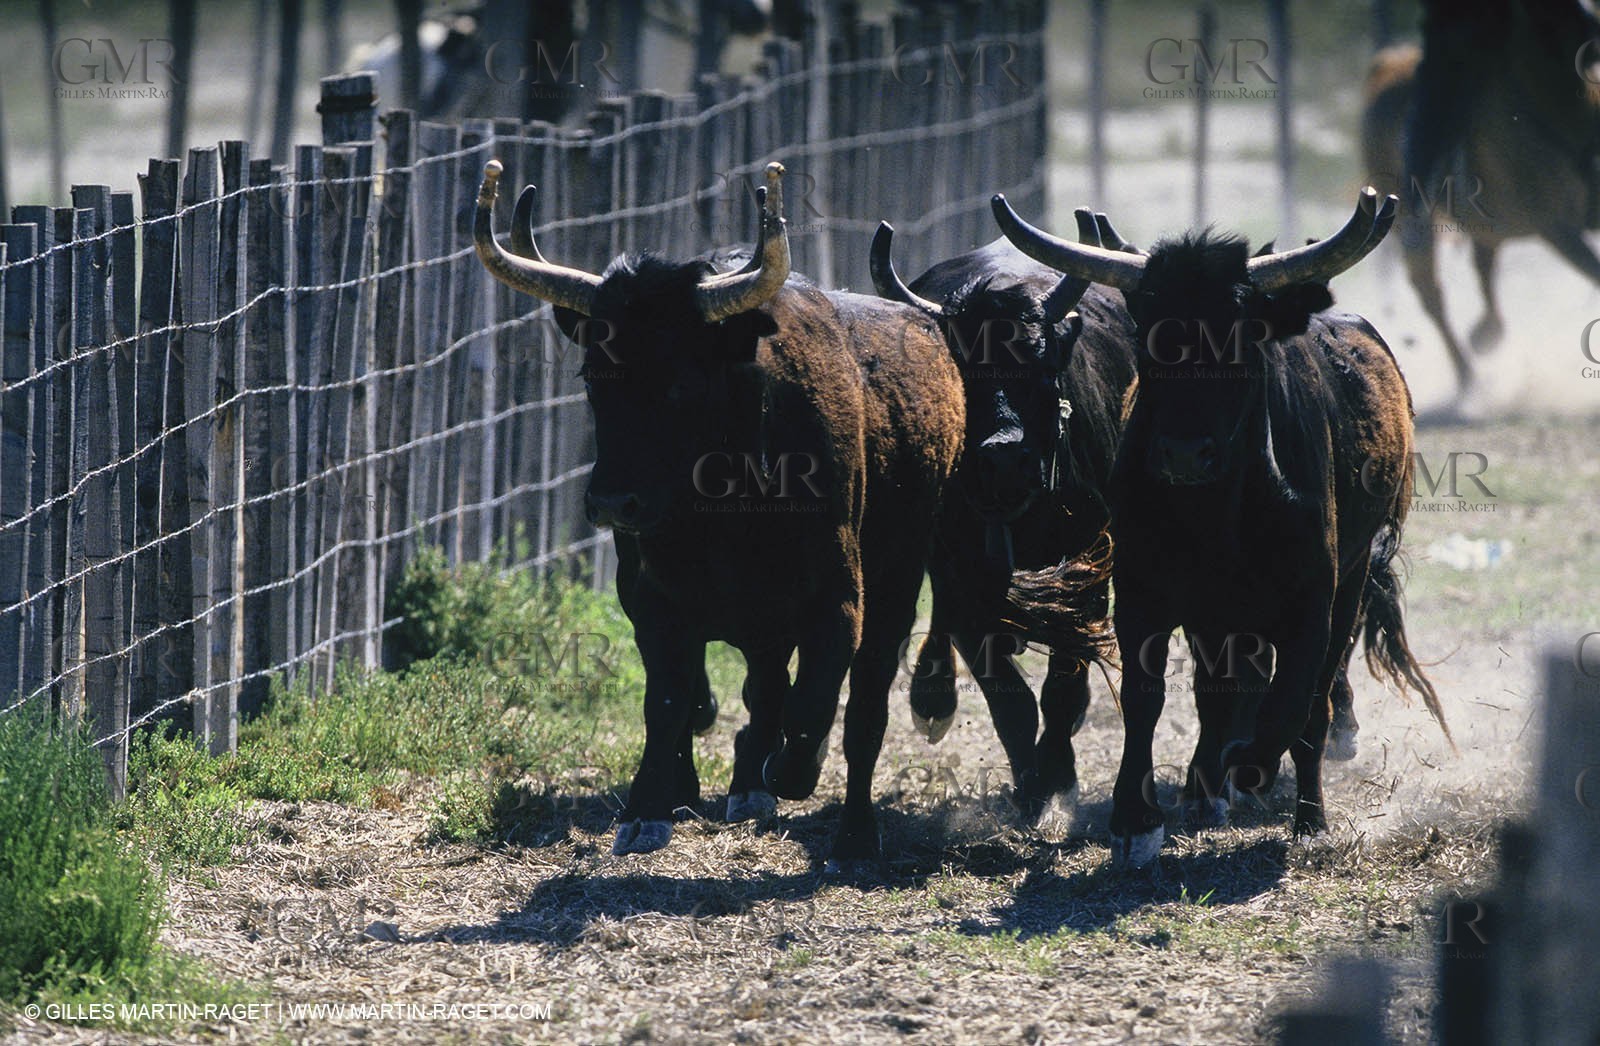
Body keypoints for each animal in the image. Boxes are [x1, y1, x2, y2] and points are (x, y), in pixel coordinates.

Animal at [473, 160, 964, 866]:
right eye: (593, 377)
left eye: (679, 383)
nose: (612, 502)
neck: (725, 503)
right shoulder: (650, 598)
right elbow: (670, 701)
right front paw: (648, 810)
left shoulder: (839, 599)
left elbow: (813, 706)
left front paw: (783, 774)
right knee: (757, 687)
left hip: (894, 589)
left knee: (861, 709)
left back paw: (849, 832)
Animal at [867, 217, 1136, 820]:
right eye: (963, 368)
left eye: (1038, 361)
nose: (1004, 457)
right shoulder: (963, 582)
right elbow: (1009, 698)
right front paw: (1030, 787)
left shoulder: (1090, 569)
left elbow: (1064, 687)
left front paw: (1057, 778)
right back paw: (932, 698)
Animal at [991, 187, 1453, 867]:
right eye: (1151, 334)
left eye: (1240, 334)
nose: (1184, 453)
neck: (1214, 516)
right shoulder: (1144, 594)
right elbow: (1147, 698)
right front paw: (1136, 820)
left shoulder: (1314, 597)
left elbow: (1296, 701)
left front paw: (1258, 772)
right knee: (1221, 692)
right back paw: (1208, 785)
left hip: (1348, 581)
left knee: (1306, 696)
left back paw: (1293, 805)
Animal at [1361, 0, 1600, 389]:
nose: (1590, 28)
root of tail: (1384, 66)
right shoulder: (1558, 231)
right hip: (1409, 221)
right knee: (1431, 292)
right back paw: (1467, 374)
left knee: (1483, 262)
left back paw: (1487, 333)